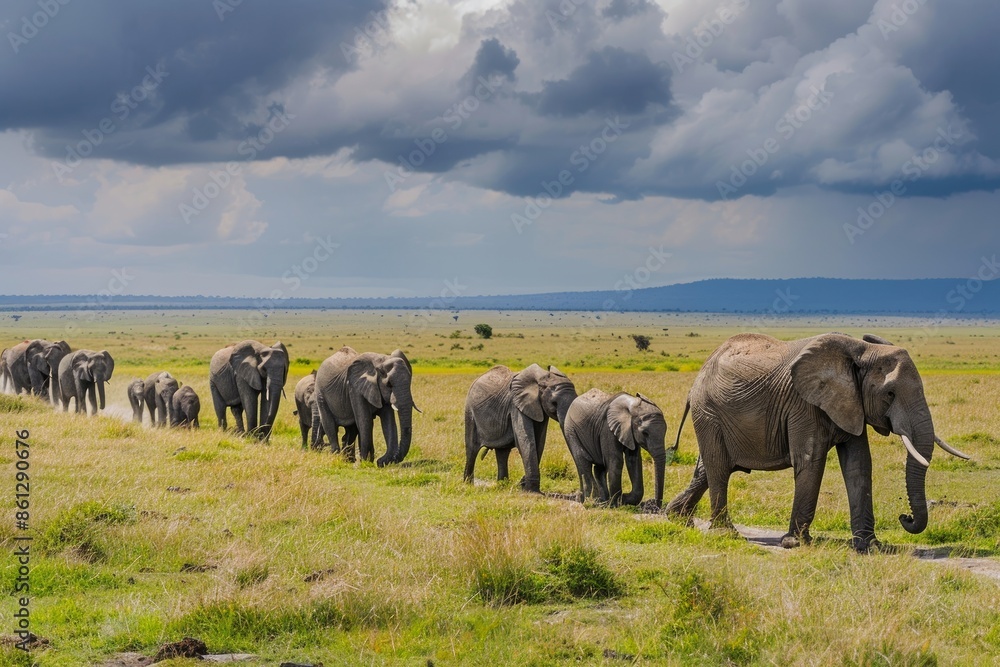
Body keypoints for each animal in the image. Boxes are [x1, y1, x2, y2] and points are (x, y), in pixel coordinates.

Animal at [463, 364, 578, 493]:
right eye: (554, 403)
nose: (520, 483)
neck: (540, 379)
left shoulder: (539, 407)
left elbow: (539, 442)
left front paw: (523, 485)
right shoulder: (516, 405)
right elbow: (526, 440)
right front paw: (531, 491)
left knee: (502, 452)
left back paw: (502, 484)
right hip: (470, 412)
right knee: (472, 449)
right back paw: (468, 484)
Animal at [665, 332, 971, 553]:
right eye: (890, 394)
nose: (904, 517)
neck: (860, 351)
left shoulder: (851, 402)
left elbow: (859, 465)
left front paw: (870, 546)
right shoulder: (804, 404)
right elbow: (810, 461)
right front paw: (795, 543)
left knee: (708, 469)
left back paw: (677, 519)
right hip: (709, 412)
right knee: (718, 467)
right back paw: (725, 534)